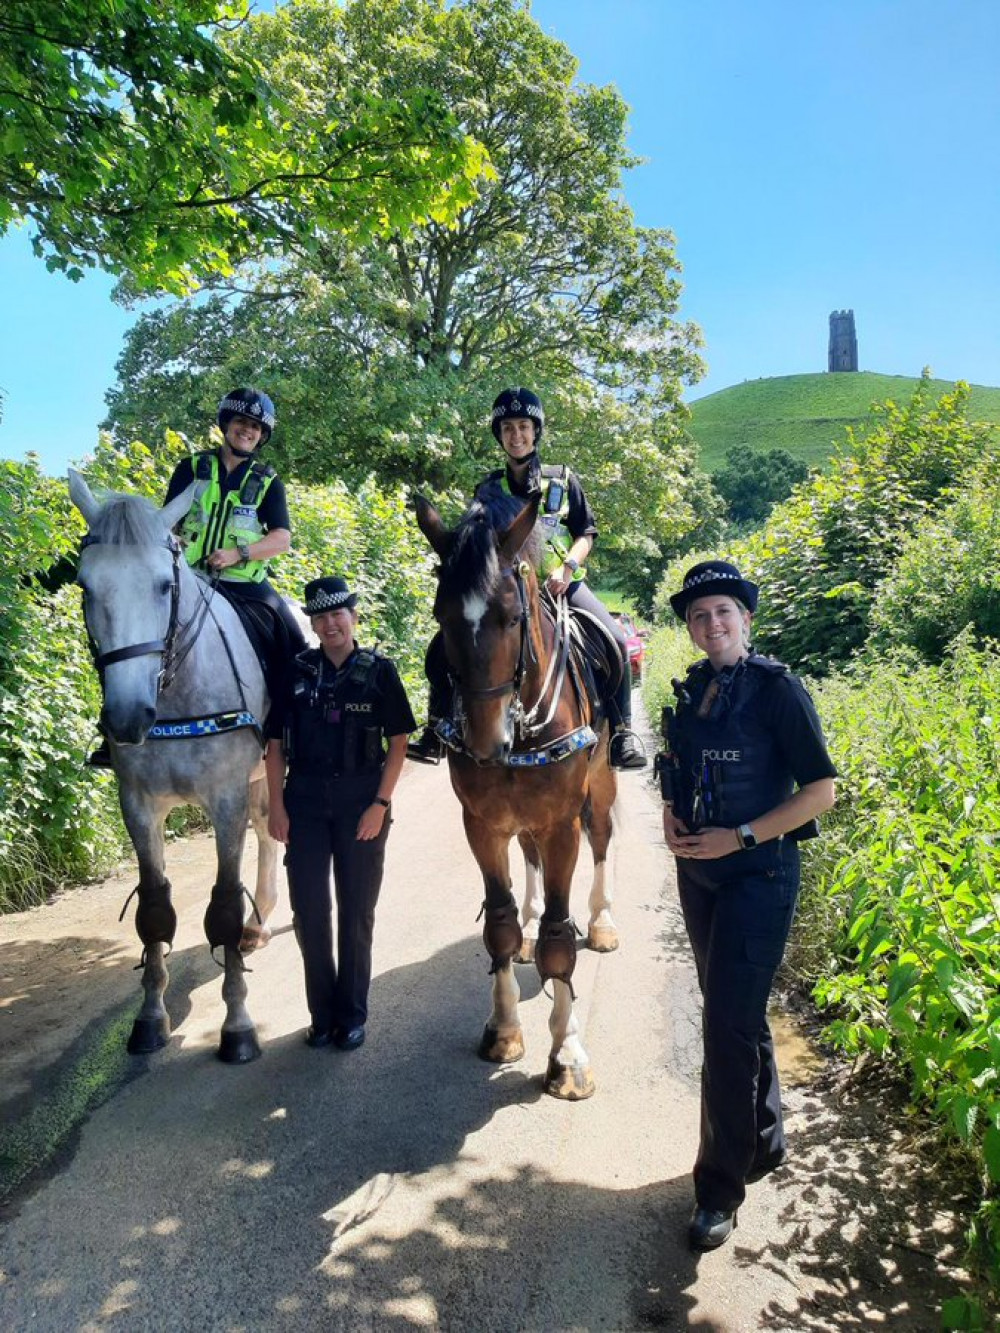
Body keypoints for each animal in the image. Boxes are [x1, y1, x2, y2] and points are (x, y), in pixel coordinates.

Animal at [70, 469, 280, 1061]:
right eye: (85, 586)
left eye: (165, 585)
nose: (126, 715)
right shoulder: (139, 807)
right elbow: (154, 912)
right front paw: (149, 1018)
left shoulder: (227, 800)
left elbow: (224, 908)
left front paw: (238, 1026)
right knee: (270, 833)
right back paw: (260, 923)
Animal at [416, 487, 618, 1093]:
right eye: (441, 617)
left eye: (510, 617)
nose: (486, 742)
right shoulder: (481, 823)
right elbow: (500, 926)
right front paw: (504, 1029)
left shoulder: (560, 825)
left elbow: (559, 937)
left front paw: (567, 1054)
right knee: (526, 860)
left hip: (600, 784)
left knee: (602, 839)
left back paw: (602, 923)